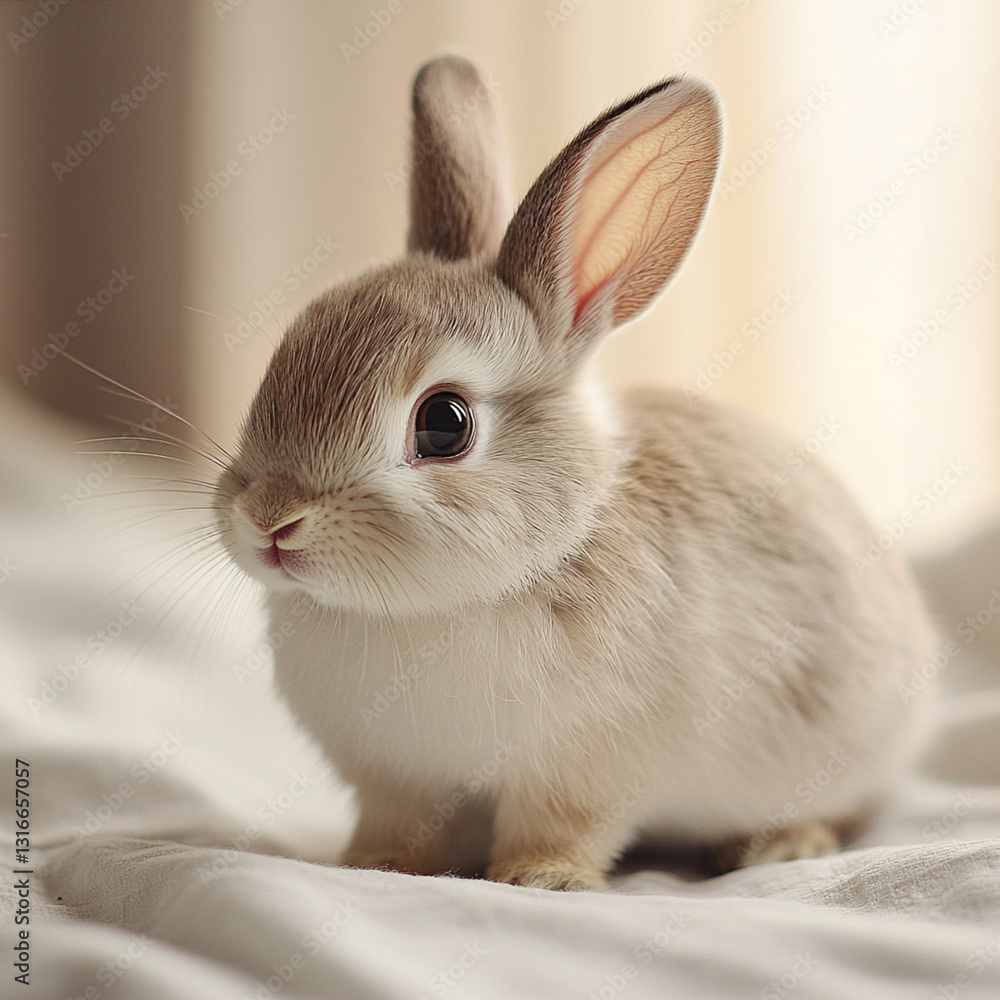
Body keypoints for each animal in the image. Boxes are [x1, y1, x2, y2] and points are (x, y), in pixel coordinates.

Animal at [214, 56, 938, 891]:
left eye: (444, 424)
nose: (270, 519)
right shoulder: (397, 779)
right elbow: (402, 824)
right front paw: (378, 864)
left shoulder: (590, 764)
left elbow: (562, 821)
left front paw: (540, 878)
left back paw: (779, 846)